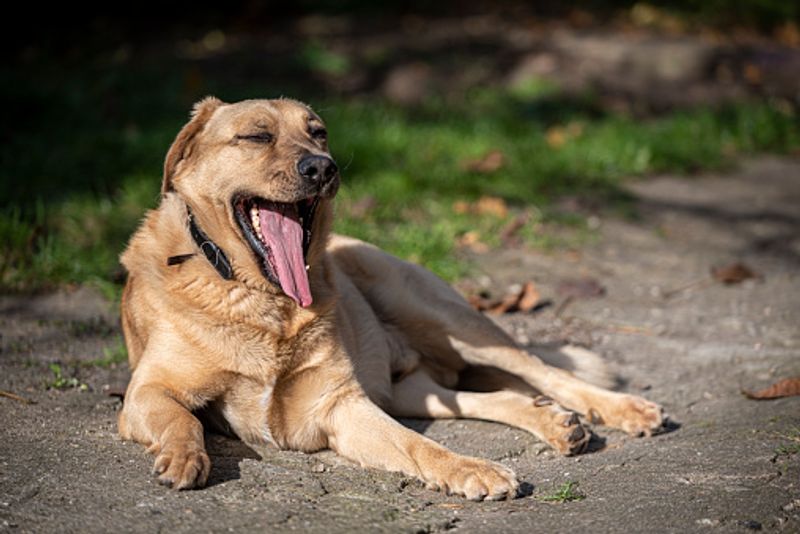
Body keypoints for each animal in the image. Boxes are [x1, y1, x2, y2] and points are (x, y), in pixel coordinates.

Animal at [119, 97, 664, 502]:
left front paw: (471, 468)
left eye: (318, 133)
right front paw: (184, 456)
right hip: (409, 389)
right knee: (485, 397)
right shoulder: (146, 392)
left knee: (545, 371)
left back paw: (625, 410)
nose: (322, 167)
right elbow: (182, 419)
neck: (262, 299)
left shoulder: (342, 405)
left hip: (447, 320)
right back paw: (553, 423)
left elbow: (417, 444)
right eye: (256, 136)